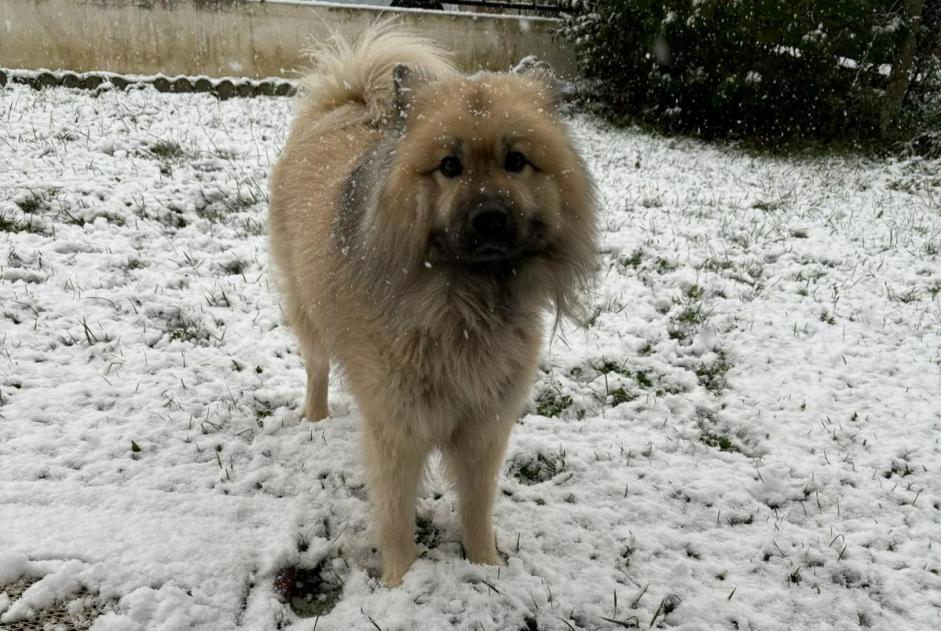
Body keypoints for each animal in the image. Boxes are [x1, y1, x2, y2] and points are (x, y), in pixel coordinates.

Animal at [268, 23, 596, 588]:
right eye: (449, 166)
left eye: (516, 161)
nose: (490, 217)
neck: (462, 308)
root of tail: (345, 108)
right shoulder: (398, 429)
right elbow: (396, 517)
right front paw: (399, 584)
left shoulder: (485, 426)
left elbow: (477, 506)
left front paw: (487, 567)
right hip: (308, 315)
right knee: (316, 367)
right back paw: (316, 418)